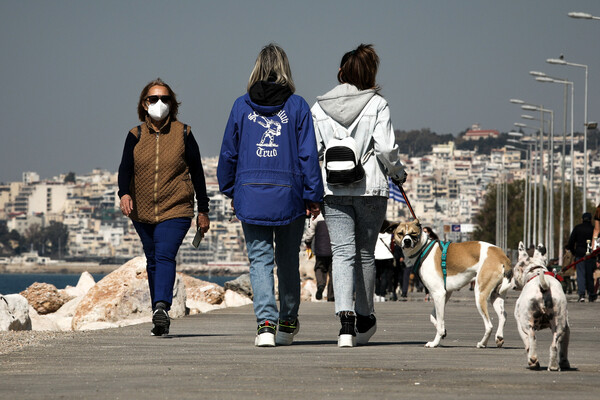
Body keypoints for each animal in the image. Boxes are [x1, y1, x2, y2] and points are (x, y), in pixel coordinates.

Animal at [392, 220, 512, 348]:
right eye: (400, 233)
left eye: (413, 233)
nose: (407, 241)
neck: (423, 248)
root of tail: (502, 256)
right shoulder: (445, 294)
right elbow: (434, 317)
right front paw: (444, 330)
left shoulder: (439, 293)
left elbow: (439, 323)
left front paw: (435, 342)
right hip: (496, 295)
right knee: (503, 315)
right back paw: (499, 337)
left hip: (480, 294)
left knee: (489, 325)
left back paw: (482, 343)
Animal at [510, 239, 572, 370]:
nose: (512, 282)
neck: (535, 271)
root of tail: (544, 286)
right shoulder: (567, 327)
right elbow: (564, 348)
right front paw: (564, 363)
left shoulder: (520, 326)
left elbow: (527, 343)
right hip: (559, 323)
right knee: (554, 344)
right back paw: (553, 366)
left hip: (527, 324)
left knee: (532, 338)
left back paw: (533, 361)